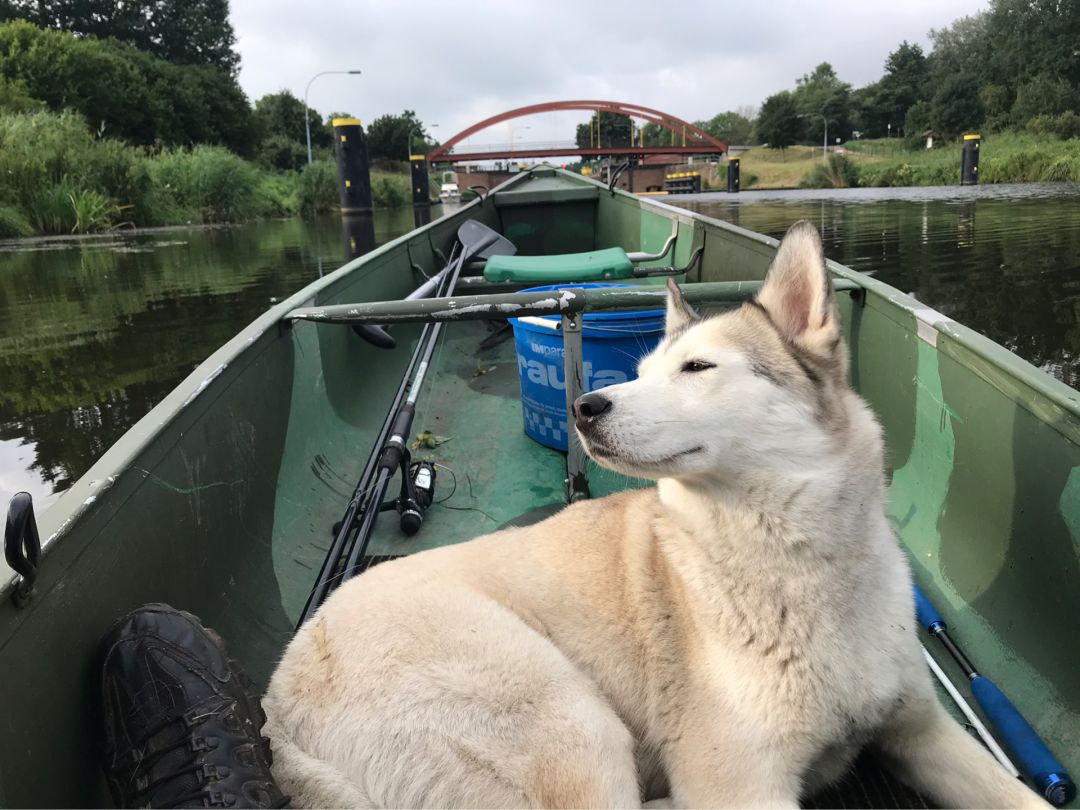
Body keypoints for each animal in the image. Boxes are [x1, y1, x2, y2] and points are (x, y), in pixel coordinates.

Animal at [261, 222, 1045, 810]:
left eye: (697, 368)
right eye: (639, 372)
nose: (584, 406)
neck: (798, 565)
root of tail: (277, 705)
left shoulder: (925, 733)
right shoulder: (743, 787)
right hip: (572, 727)